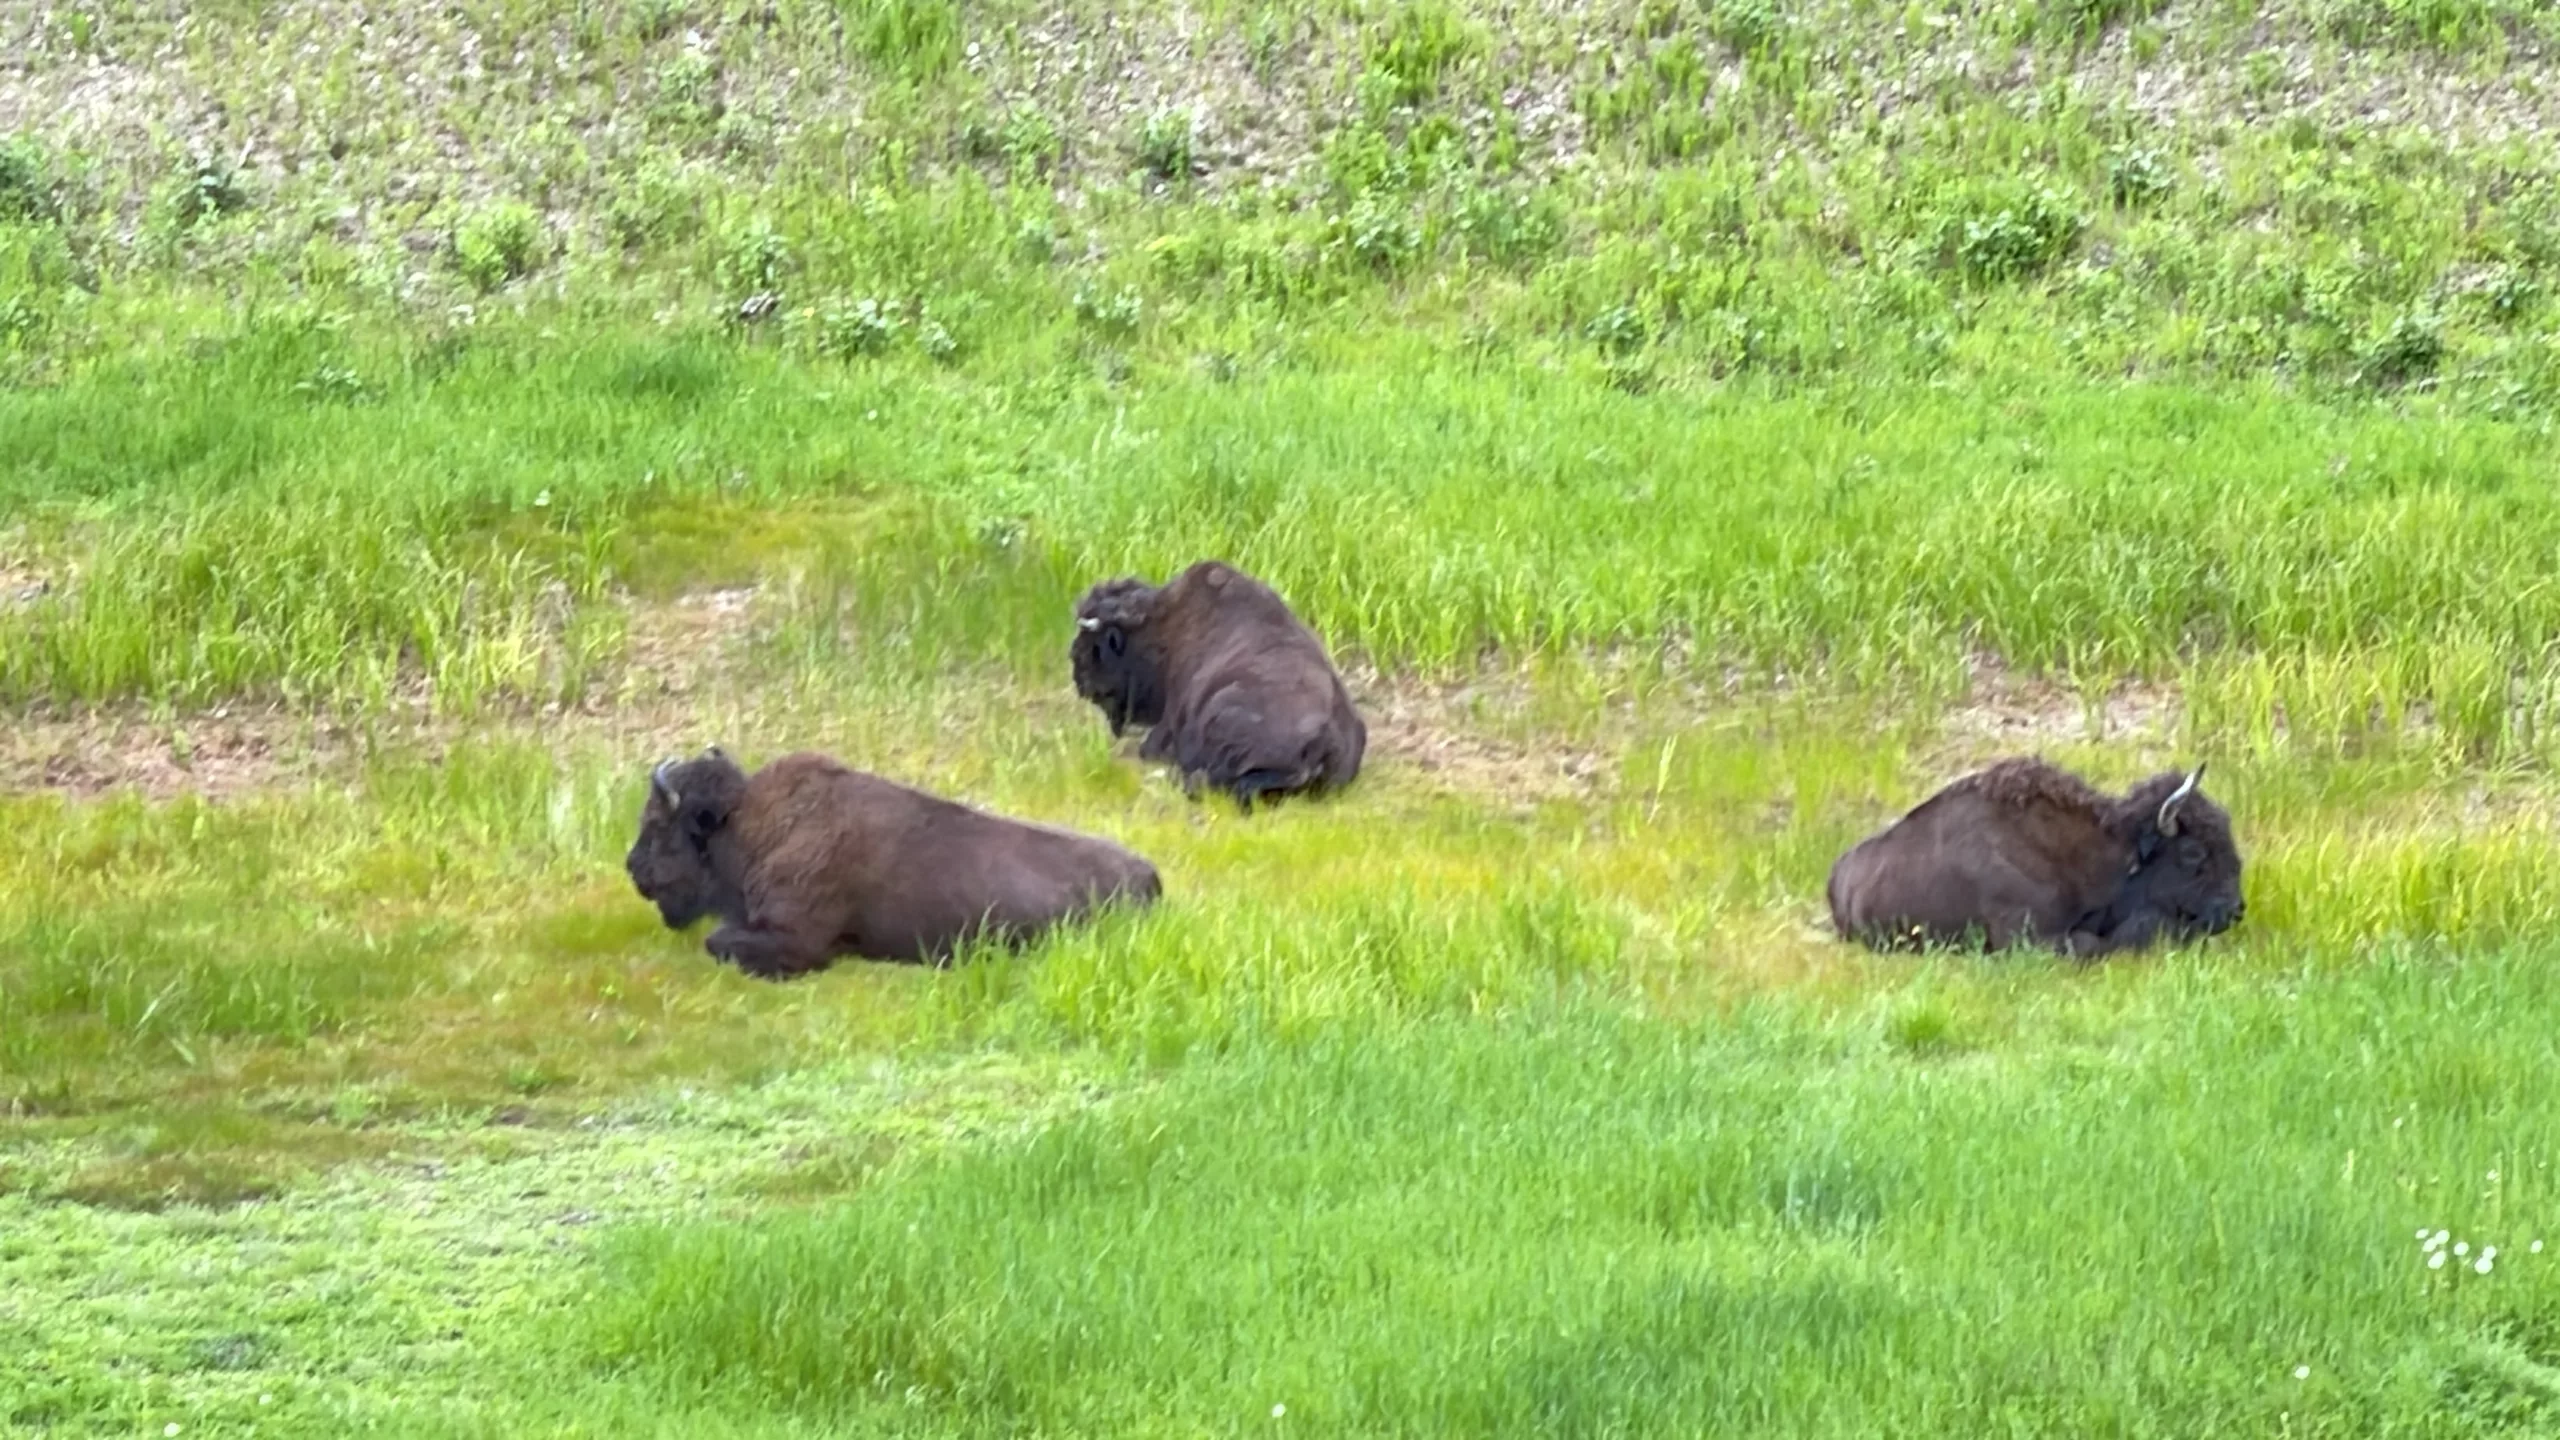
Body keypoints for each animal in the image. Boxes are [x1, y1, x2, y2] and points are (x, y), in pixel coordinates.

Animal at [624, 737, 1167, 973]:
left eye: (658, 825)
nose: (632, 868)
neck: (744, 824)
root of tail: (1150, 875)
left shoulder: (796, 936)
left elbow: (717, 941)